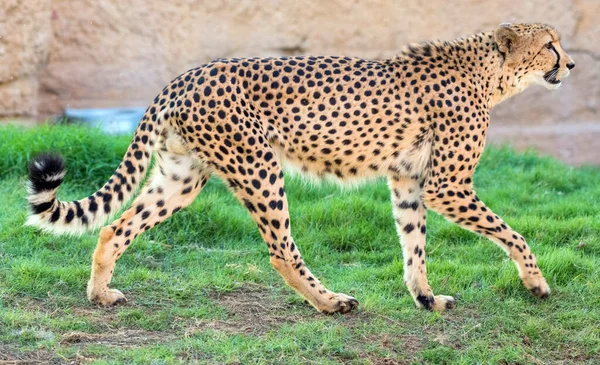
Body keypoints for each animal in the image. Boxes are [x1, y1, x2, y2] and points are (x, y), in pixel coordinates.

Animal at [25, 23, 576, 312]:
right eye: (550, 44)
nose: (571, 65)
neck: (490, 74)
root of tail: (187, 74)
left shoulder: (408, 180)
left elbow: (413, 244)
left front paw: (425, 298)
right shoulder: (446, 185)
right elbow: (512, 232)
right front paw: (536, 282)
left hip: (181, 177)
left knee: (114, 227)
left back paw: (100, 293)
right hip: (259, 166)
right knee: (281, 251)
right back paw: (331, 302)